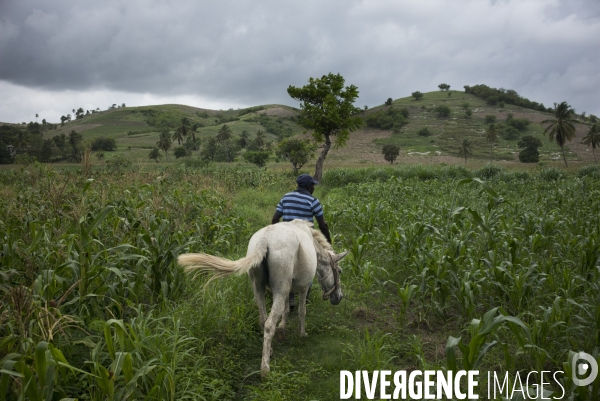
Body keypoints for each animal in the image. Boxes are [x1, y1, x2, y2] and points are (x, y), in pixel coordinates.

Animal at [177, 220, 346, 374]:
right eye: (340, 271)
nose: (339, 298)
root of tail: (264, 240)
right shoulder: (303, 288)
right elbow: (301, 311)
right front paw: (302, 334)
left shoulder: (287, 290)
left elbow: (285, 309)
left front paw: (282, 327)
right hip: (278, 290)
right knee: (269, 324)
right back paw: (265, 368)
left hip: (258, 288)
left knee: (263, 320)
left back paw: (269, 352)